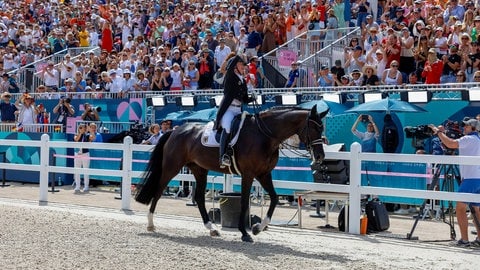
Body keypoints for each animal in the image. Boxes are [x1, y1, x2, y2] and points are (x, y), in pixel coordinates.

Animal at [137, 104, 328, 242]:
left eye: (322, 129)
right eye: (314, 129)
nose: (320, 157)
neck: (265, 136)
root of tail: (176, 130)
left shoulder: (264, 174)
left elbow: (274, 198)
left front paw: (258, 228)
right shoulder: (249, 174)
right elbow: (243, 202)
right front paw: (245, 233)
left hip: (199, 170)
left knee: (199, 198)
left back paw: (212, 229)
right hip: (172, 167)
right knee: (158, 191)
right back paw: (150, 224)